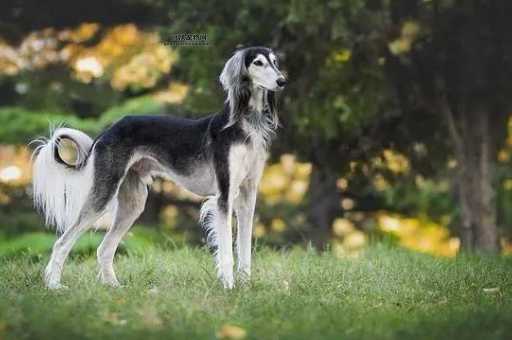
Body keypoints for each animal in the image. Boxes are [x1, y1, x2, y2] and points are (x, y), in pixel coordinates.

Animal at [32, 45, 288, 290]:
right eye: (258, 63)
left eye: (275, 62)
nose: (282, 81)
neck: (245, 124)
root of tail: (108, 130)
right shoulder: (224, 196)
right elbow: (226, 251)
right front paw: (228, 286)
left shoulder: (247, 195)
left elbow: (244, 249)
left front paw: (244, 286)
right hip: (103, 195)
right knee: (62, 242)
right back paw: (54, 285)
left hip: (133, 202)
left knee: (104, 248)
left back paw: (113, 286)